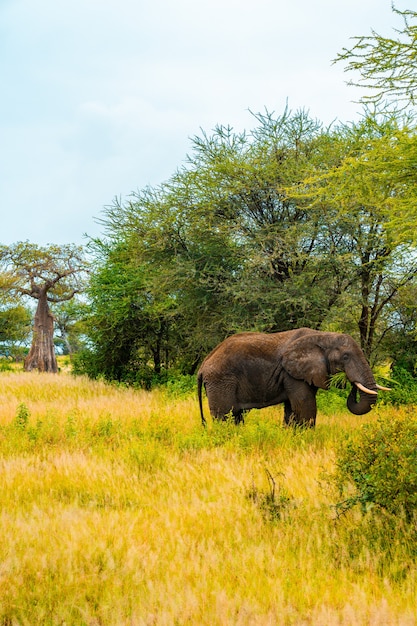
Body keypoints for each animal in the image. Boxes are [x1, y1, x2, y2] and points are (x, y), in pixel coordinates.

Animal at [197, 326, 388, 424]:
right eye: (346, 357)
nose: (351, 383)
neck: (322, 335)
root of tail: (203, 366)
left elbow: (292, 409)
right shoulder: (292, 373)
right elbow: (305, 406)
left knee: (236, 416)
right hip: (221, 381)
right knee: (225, 416)